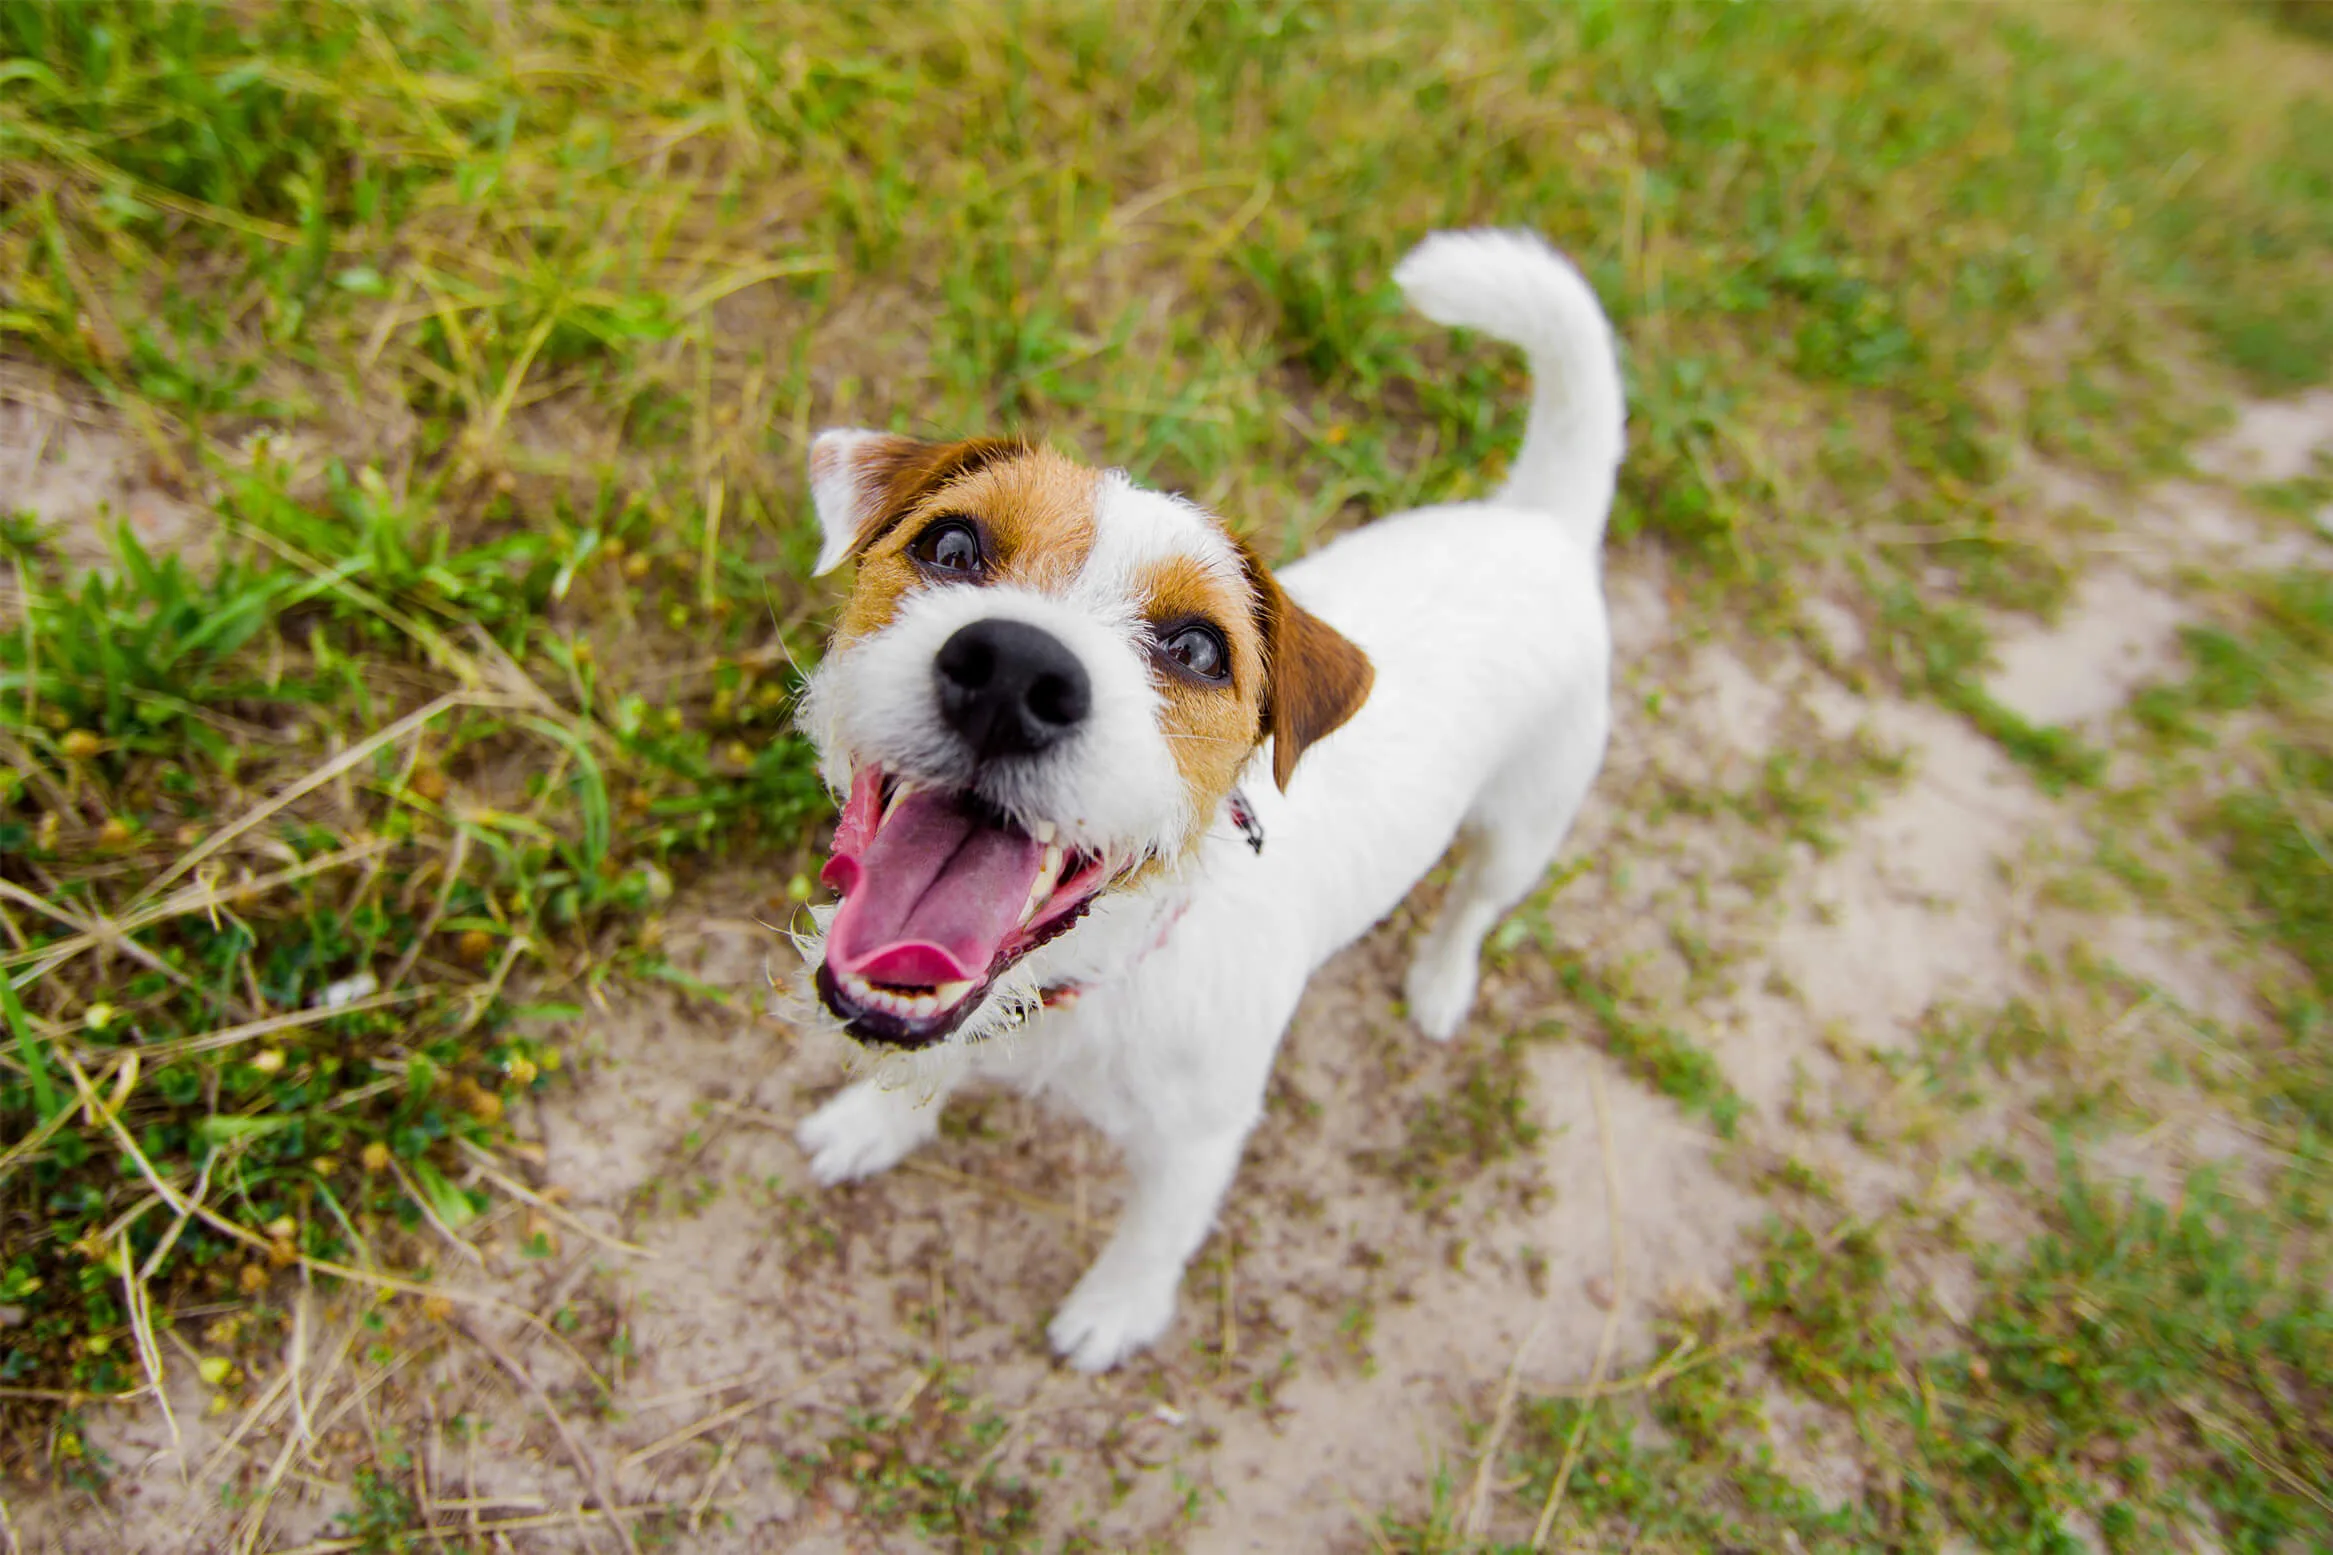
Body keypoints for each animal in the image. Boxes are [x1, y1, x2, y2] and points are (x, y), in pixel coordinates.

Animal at [783, 224, 1623, 1370]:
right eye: (948, 545)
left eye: (1194, 648)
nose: (1011, 674)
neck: (1096, 971)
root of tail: (1539, 524)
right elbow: (929, 1064)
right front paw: (875, 1121)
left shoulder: (1200, 1138)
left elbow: (1156, 1228)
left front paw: (1114, 1306)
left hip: (1523, 822)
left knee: (1476, 901)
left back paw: (1440, 981)